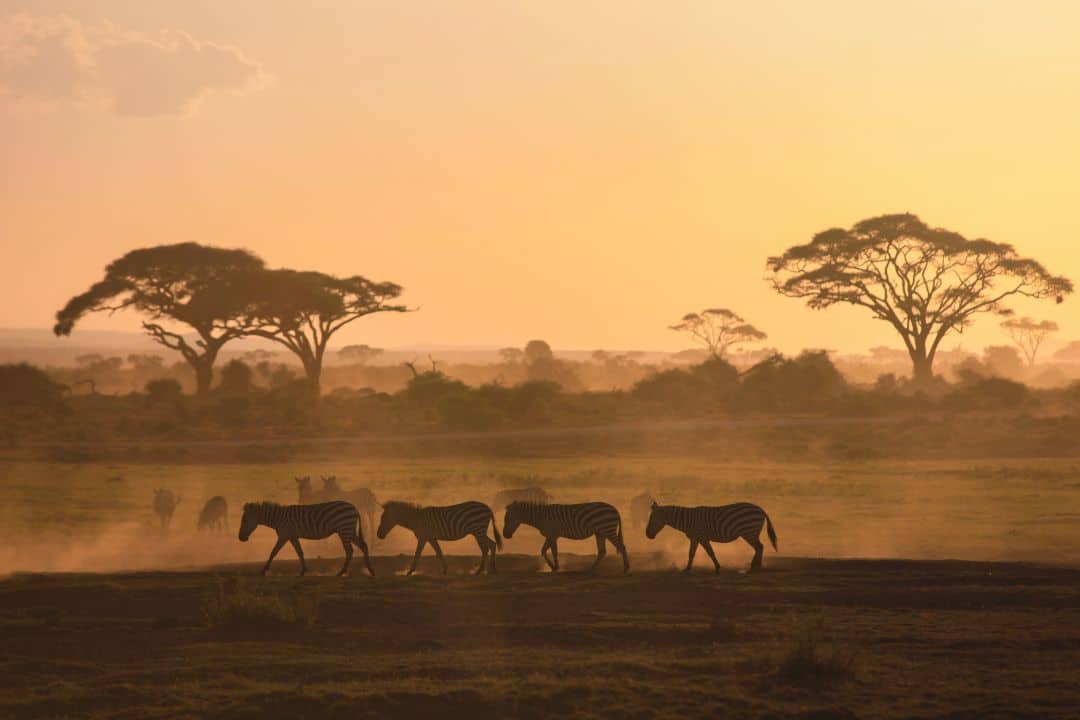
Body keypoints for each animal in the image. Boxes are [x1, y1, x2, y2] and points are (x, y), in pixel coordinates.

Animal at [238, 500, 374, 577]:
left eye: (245, 521)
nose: (240, 538)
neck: (278, 518)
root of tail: (354, 508)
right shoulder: (292, 536)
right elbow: (300, 552)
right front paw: (303, 571)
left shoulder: (284, 535)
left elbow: (273, 552)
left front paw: (263, 570)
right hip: (348, 530)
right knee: (363, 546)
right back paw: (370, 570)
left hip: (344, 529)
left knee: (350, 551)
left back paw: (342, 572)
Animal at [645, 502, 778, 573]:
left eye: (651, 518)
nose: (647, 535)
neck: (687, 521)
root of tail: (760, 509)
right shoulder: (697, 538)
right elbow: (696, 553)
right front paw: (688, 568)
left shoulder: (700, 537)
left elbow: (703, 553)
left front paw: (688, 569)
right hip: (751, 533)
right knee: (759, 547)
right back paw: (756, 566)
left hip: (749, 532)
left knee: (759, 547)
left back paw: (755, 566)